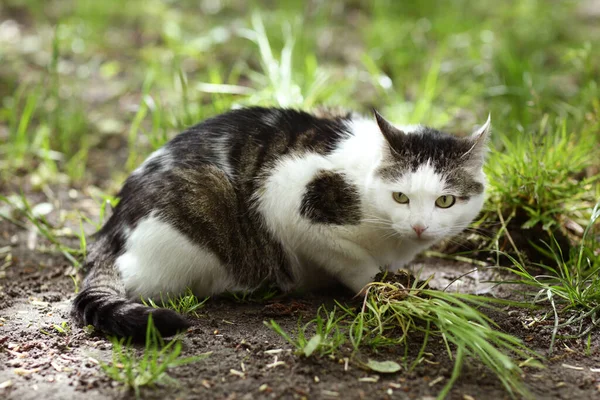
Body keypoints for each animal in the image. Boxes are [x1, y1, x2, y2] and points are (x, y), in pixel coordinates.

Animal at [72, 106, 490, 338]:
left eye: (445, 201)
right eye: (400, 196)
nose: (420, 226)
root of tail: (111, 228)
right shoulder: (288, 202)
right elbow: (352, 259)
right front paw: (381, 288)